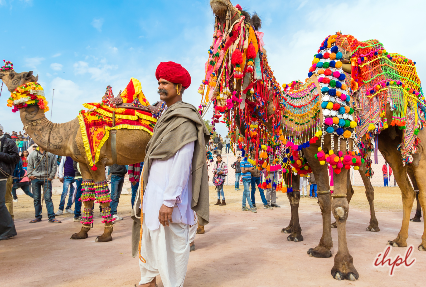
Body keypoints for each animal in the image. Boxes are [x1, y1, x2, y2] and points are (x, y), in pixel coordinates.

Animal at [0, 63, 163, 243]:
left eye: (13, 74)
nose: (2, 71)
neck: (68, 133)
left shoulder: (98, 162)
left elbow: (103, 195)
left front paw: (105, 235)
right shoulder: (84, 163)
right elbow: (87, 197)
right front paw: (81, 232)